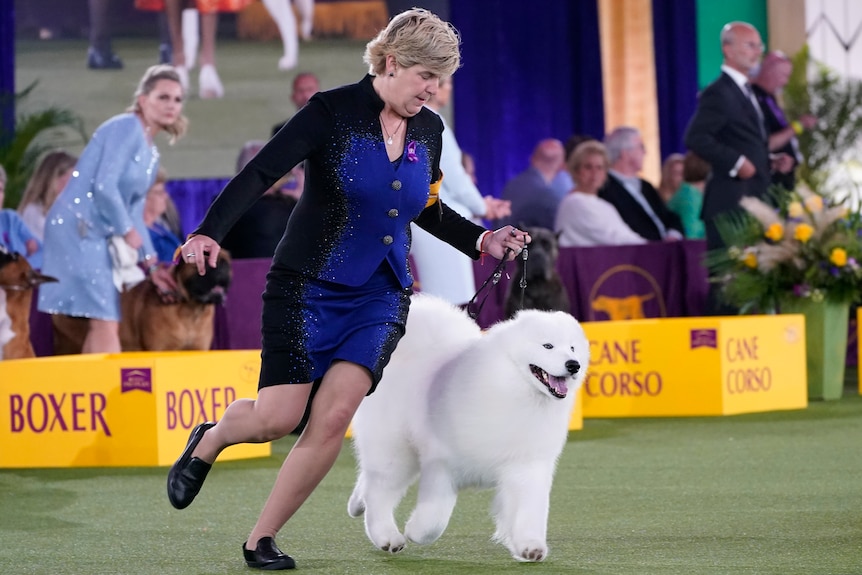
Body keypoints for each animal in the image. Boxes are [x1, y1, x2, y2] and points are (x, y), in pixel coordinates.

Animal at [348, 294, 592, 560]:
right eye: (547, 346)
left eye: (572, 348)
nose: (573, 365)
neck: (514, 390)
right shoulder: (442, 463)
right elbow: (434, 519)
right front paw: (415, 531)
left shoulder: (527, 464)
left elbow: (529, 511)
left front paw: (530, 547)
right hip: (395, 449)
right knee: (379, 492)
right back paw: (387, 537)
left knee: (370, 482)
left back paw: (357, 505)